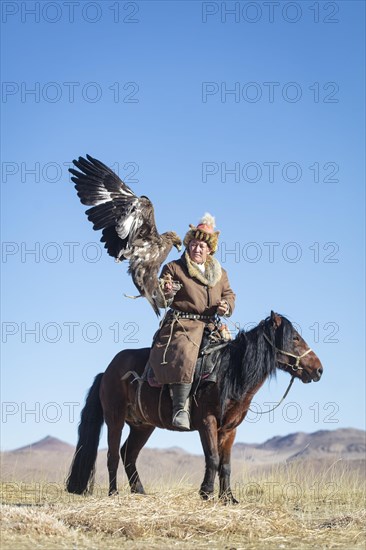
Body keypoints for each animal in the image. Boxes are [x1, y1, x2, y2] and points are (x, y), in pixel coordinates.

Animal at [66, 312, 324, 502]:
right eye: (295, 338)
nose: (319, 370)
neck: (228, 373)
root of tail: (107, 371)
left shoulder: (229, 430)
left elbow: (226, 464)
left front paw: (228, 498)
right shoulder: (206, 423)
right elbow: (212, 458)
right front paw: (206, 493)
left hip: (143, 426)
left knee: (128, 453)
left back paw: (139, 491)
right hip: (115, 419)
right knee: (112, 454)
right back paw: (114, 493)